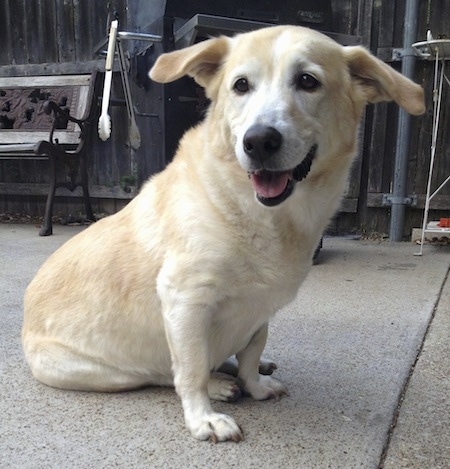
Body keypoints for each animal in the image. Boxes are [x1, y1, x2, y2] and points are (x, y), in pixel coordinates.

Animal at [22, 25, 426, 442]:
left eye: (307, 81)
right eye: (241, 85)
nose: (259, 141)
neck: (256, 213)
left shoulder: (261, 308)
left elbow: (251, 351)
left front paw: (254, 383)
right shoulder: (185, 301)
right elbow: (191, 370)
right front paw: (203, 416)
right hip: (109, 372)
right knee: (158, 374)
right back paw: (217, 384)